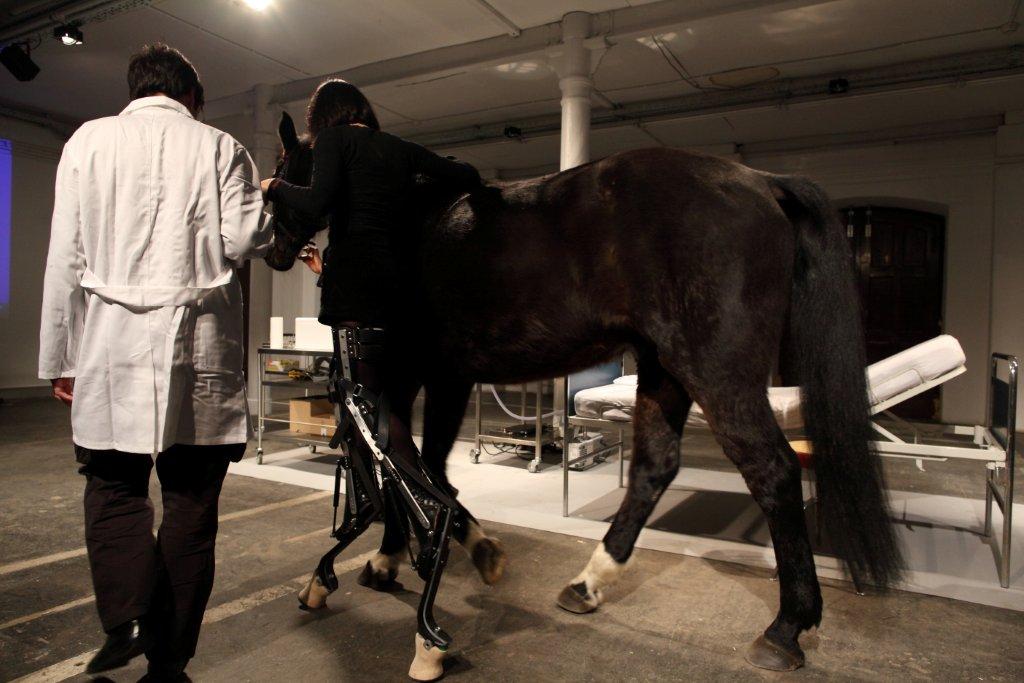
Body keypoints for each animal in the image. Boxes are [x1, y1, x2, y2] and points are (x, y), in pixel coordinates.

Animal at [265, 111, 902, 677]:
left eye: (283, 168)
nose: (274, 248)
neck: (410, 219)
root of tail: (760, 181)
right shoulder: (447, 376)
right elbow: (424, 467)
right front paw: (463, 547)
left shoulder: (405, 374)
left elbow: (400, 466)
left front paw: (390, 558)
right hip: (664, 368)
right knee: (653, 469)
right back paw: (587, 583)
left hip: (715, 371)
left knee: (772, 470)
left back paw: (785, 628)